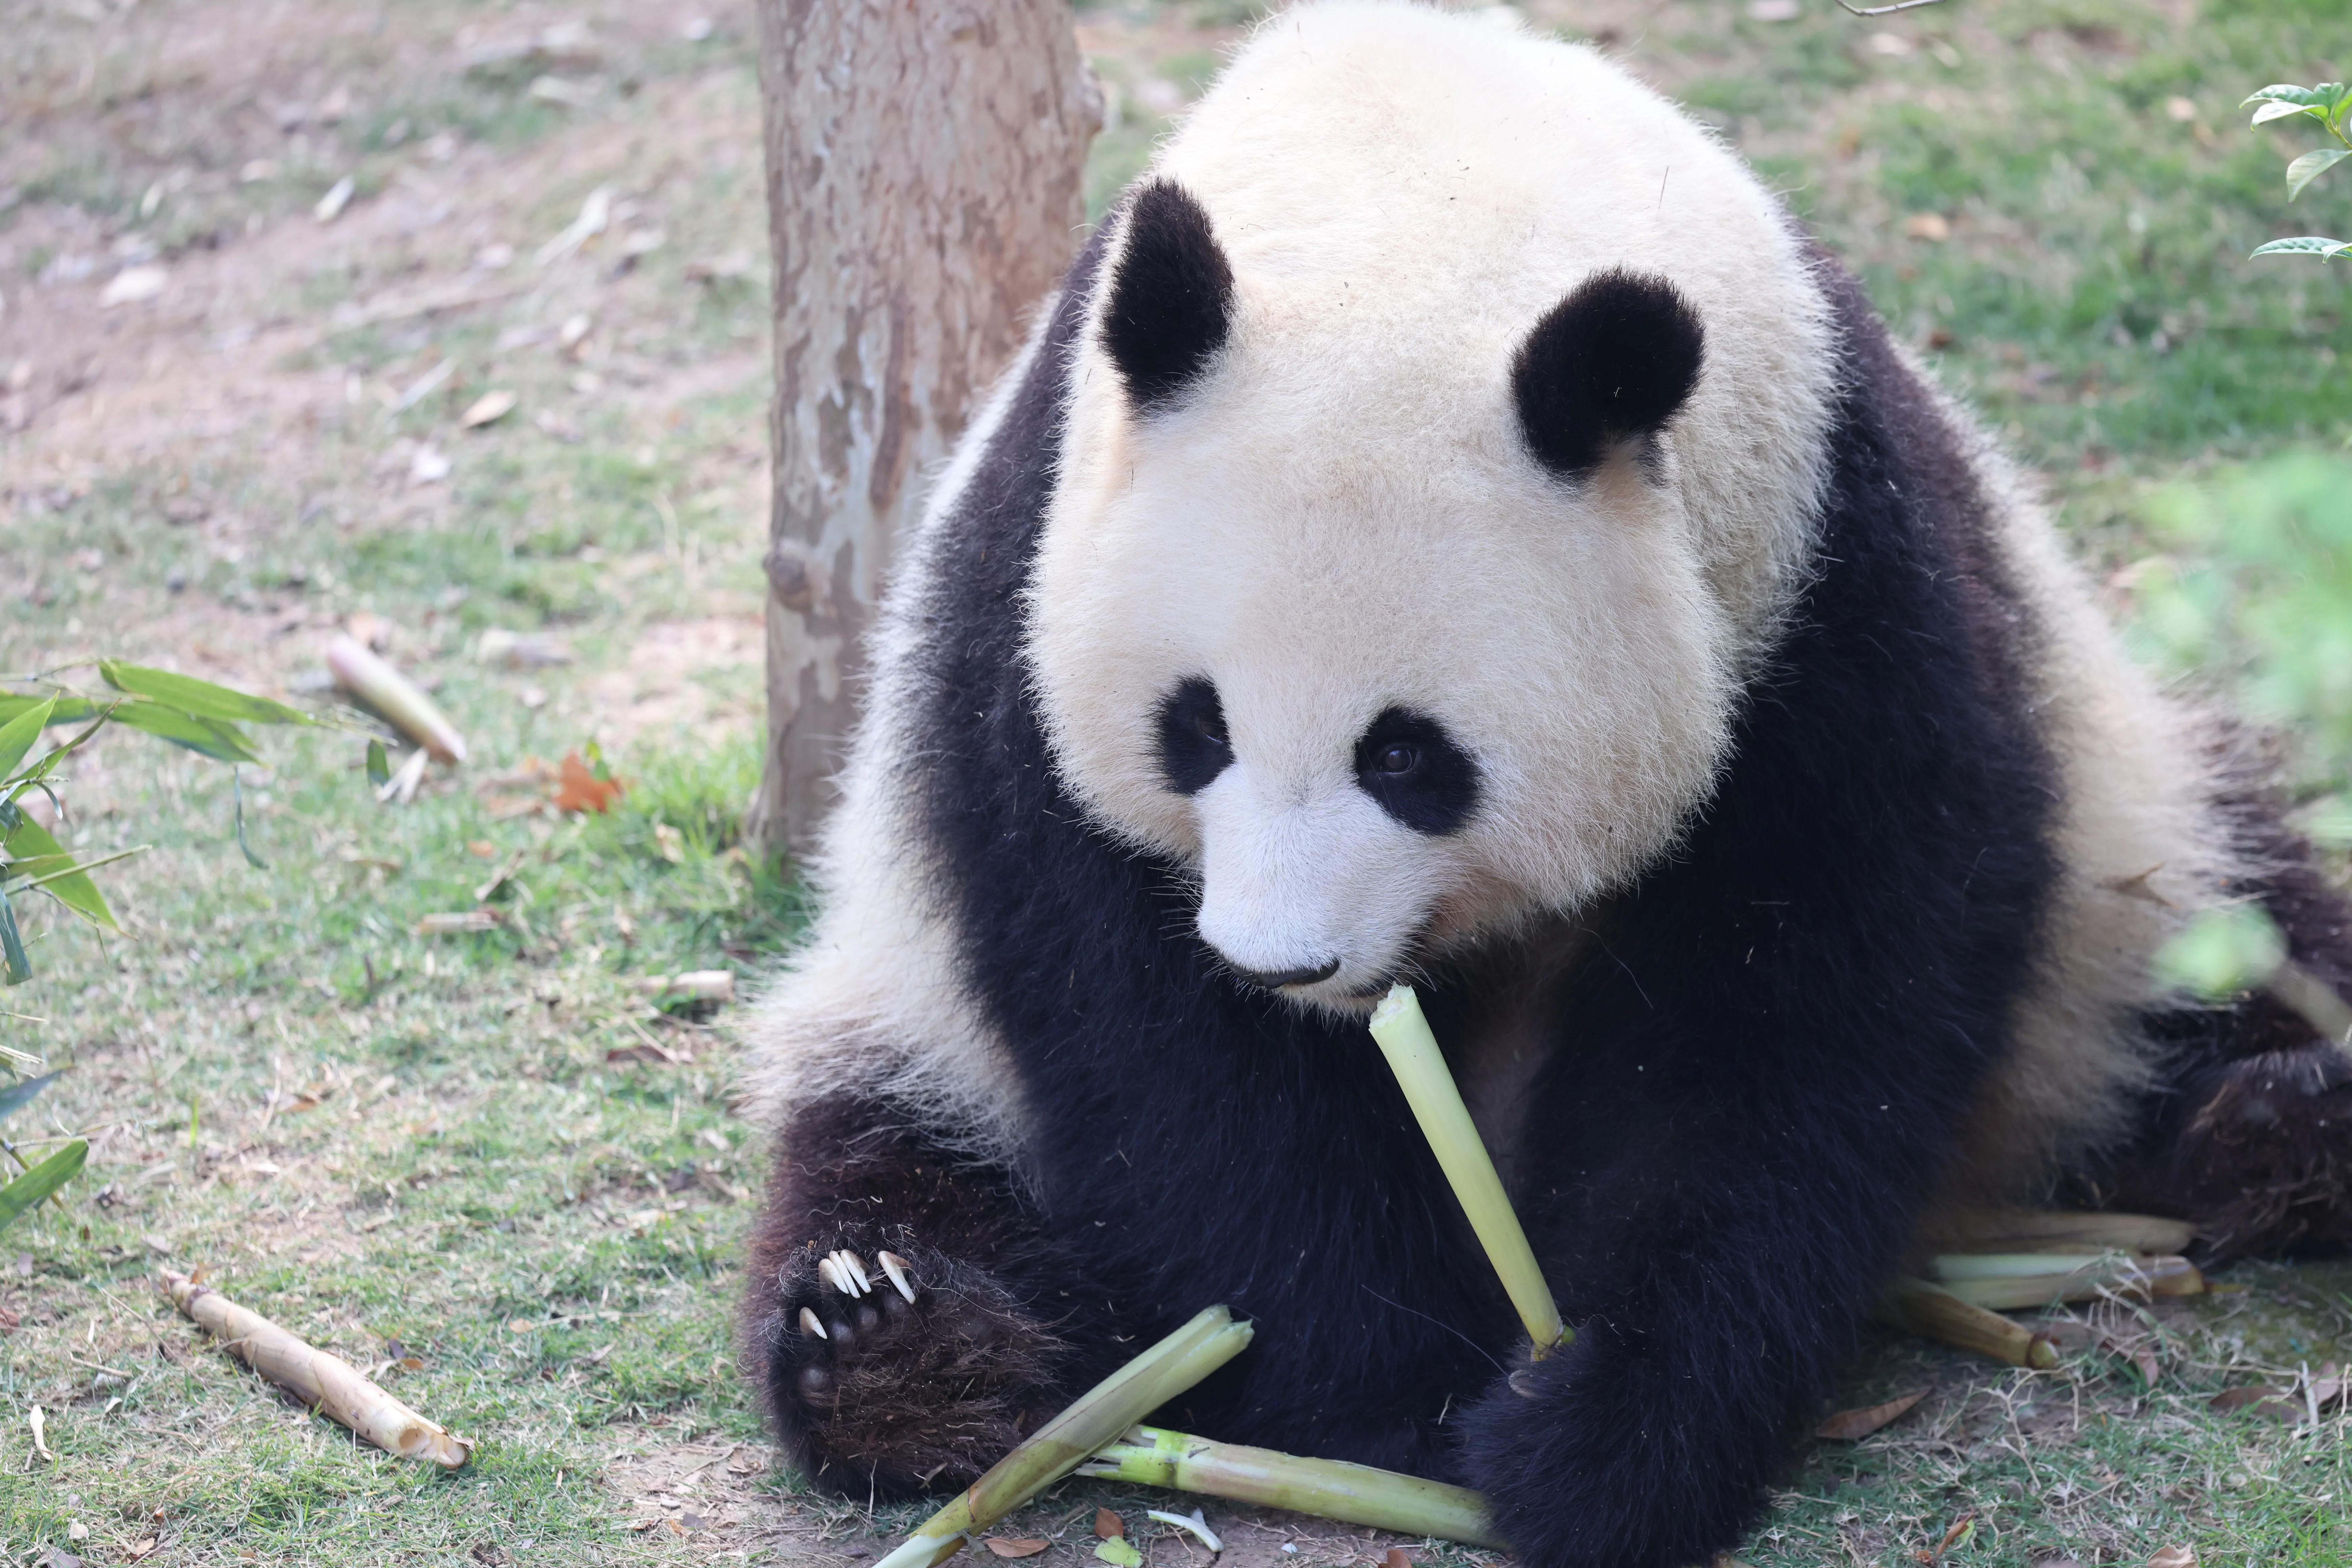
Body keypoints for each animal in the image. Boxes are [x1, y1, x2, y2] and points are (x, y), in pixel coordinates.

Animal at [741, 6, 2352, 1566]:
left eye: (1405, 754)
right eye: (1191, 728)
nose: (1285, 963)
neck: (1414, 186)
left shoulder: (1829, 579)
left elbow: (1789, 1021)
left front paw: (1600, 1429)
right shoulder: (1027, 587)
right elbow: (1164, 1056)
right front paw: (1391, 1383)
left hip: (2126, 852)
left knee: (2242, 928)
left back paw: (2277, 1120)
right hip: (909, 1015)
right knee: (893, 1159)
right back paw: (901, 1341)